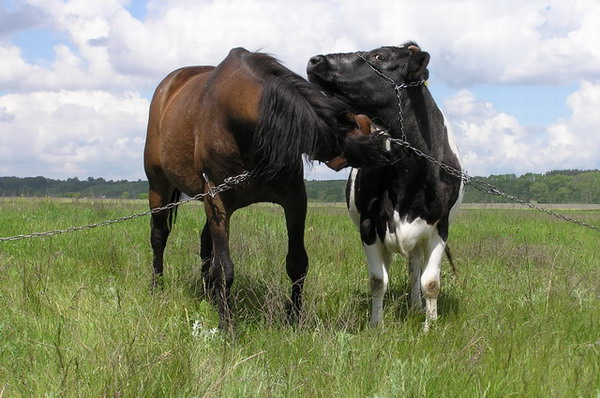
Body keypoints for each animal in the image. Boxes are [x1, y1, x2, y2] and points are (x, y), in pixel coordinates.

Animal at [144, 47, 386, 330]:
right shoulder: (217, 198)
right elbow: (224, 269)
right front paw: (227, 326)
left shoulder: (295, 199)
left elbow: (297, 262)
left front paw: (294, 318)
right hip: (159, 187)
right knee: (159, 236)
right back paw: (157, 287)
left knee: (205, 244)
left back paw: (208, 296)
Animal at [310, 42, 464, 330]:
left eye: (379, 56)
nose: (315, 60)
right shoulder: (369, 224)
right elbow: (377, 279)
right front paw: (376, 324)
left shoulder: (441, 226)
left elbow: (431, 282)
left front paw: (430, 326)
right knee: (391, 265)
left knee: (415, 267)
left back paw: (415, 305)